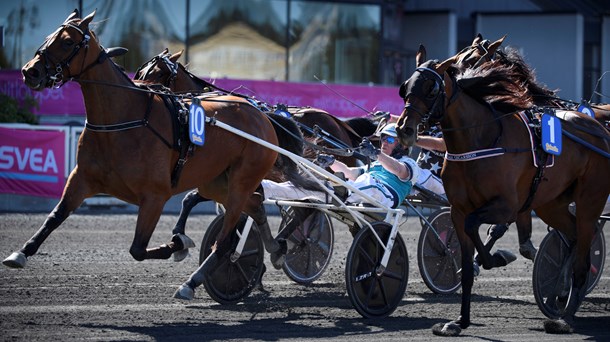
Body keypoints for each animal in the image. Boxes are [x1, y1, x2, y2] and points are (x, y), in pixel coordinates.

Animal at [4, 8, 316, 300]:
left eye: (68, 42)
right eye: (48, 37)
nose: (30, 71)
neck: (124, 119)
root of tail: (263, 116)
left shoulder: (155, 196)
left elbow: (138, 249)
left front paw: (178, 244)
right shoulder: (83, 178)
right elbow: (55, 216)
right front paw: (20, 253)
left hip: (242, 179)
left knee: (226, 240)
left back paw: (192, 282)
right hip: (218, 182)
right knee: (255, 207)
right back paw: (276, 248)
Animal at [394, 44, 608, 334]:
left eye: (431, 89)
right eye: (405, 87)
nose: (404, 130)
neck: (481, 140)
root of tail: (600, 131)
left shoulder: (507, 206)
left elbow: (479, 228)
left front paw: (498, 257)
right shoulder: (459, 211)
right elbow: (466, 261)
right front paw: (460, 321)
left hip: (589, 201)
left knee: (584, 257)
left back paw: (565, 319)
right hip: (551, 204)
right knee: (572, 237)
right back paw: (561, 294)